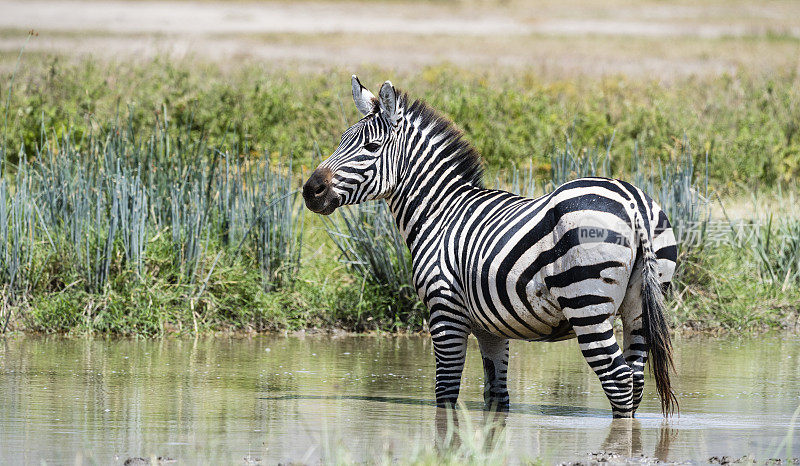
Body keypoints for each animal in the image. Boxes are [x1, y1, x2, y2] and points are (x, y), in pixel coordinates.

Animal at [304, 76, 680, 418]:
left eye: (371, 147)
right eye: (341, 141)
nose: (310, 190)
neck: (440, 212)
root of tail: (633, 201)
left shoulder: (445, 310)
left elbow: (445, 393)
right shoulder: (490, 328)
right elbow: (496, 395)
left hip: (586, 302)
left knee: (618, 381)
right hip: (640, 306)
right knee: (635, 379)